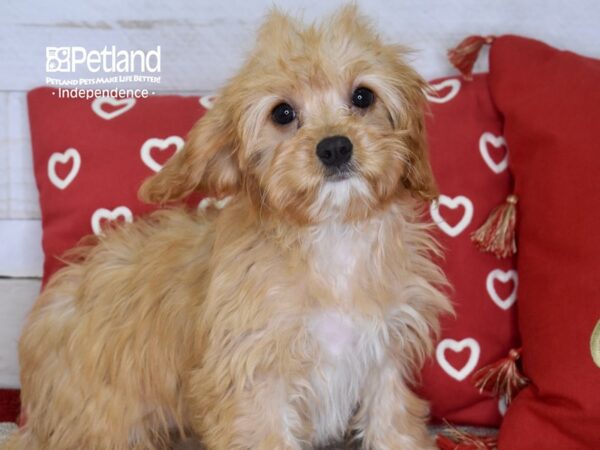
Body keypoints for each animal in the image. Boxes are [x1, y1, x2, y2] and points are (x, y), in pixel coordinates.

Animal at [8, 6, 450, 450]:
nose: (335, 147)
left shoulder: (383, 360)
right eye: (282, 113)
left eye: (363, 96)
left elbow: (393, 426)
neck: (332, 237)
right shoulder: (255, 381)